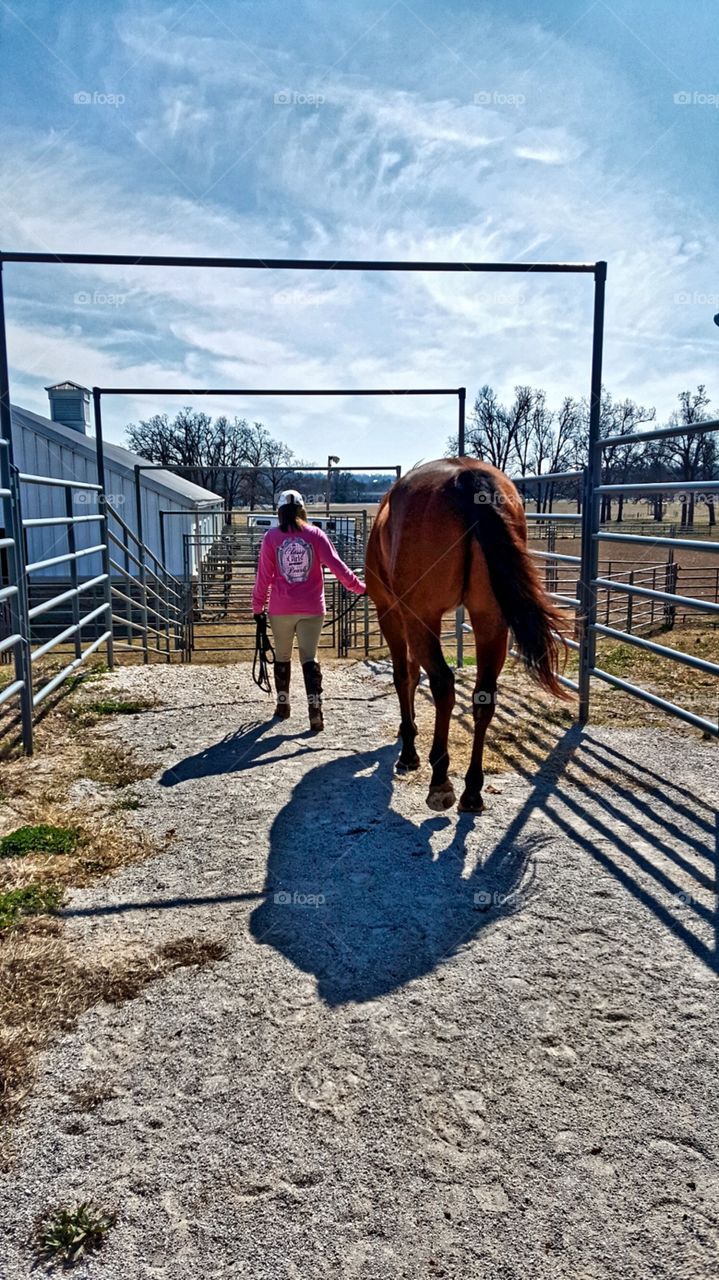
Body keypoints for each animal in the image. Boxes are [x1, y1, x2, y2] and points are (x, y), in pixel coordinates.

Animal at [365, 458, 569, 813]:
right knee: (483, 697)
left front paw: (409, 750)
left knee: (443, 684)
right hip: (490, 620)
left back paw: (440, 780)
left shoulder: (390, 612)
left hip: (423, 618)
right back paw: (472, 790)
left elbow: (404, 676)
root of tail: (466, 475)